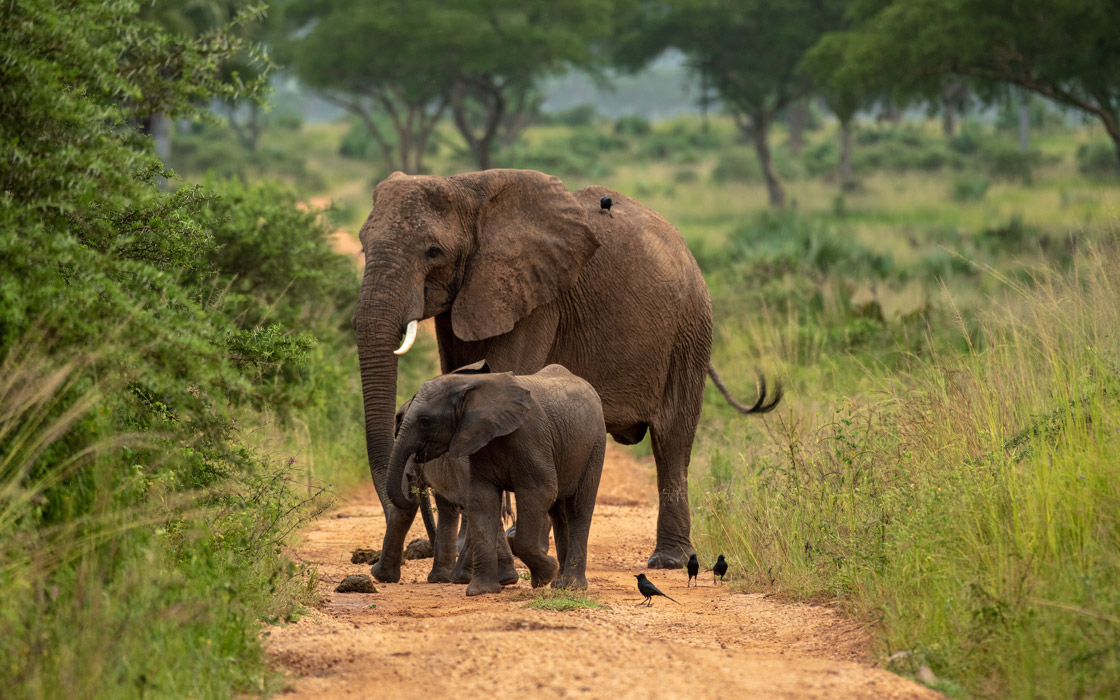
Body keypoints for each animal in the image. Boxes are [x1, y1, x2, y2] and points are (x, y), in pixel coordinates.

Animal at [388, 363, 606, 595]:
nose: (411, 474)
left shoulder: (531, 436)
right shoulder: (478, 440)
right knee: (559, 513)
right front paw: (481, 591)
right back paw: (559, 584)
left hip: (595, 446)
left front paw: (544, 575)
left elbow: (541, 491)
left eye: (425, 421)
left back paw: (571, 585)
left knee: (578, 509)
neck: (471, 385)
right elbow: (481, 499)